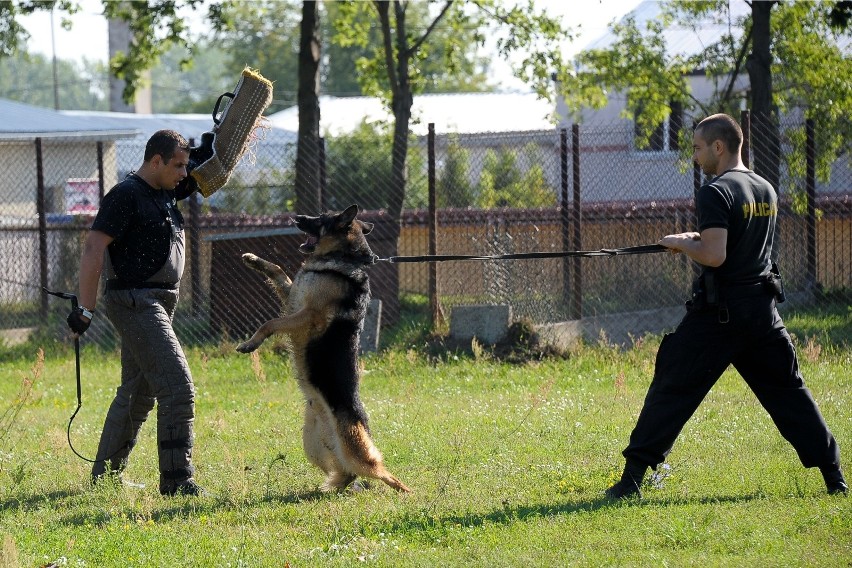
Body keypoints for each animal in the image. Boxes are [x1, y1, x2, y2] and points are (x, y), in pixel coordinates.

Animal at [236, 204, 412, 492]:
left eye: (320, 219)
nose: (295, 217)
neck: (340, 261)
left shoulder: (307, 315)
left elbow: (269, 323)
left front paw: (251, 342)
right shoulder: (292, 299)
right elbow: (277, 269)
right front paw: (253, 260)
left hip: (357, 451)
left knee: (380, 470)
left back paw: (405, 490)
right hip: (313, 447)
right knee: (347, 472)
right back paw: (335, 486)